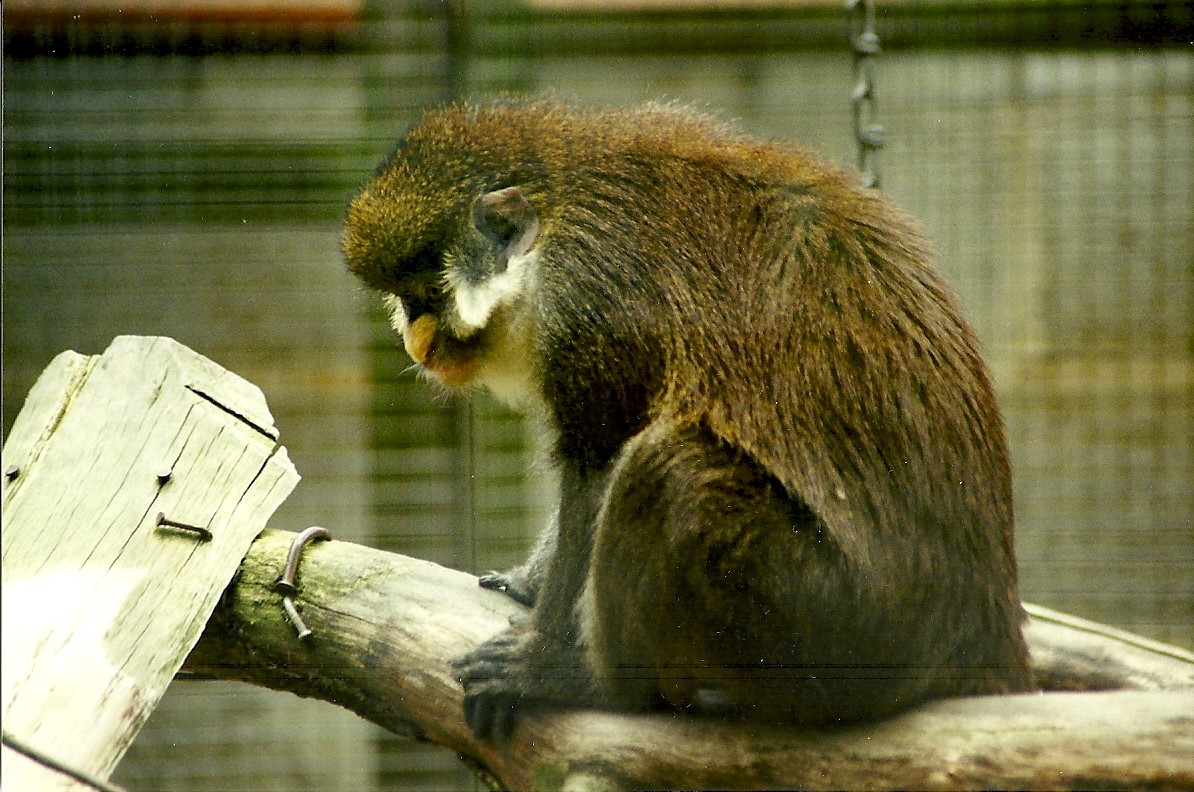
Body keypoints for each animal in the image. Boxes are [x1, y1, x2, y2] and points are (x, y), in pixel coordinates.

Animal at [342, 98, 1034, 740]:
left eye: (425, 294)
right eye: (405, 299)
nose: (415, 342)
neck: (560, 207)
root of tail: (986, 632)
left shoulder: (593, 301)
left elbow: (599, 461)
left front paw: (547, 659)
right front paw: (529, 582)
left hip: (842, 631)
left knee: (671, 468)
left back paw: (600, 685)